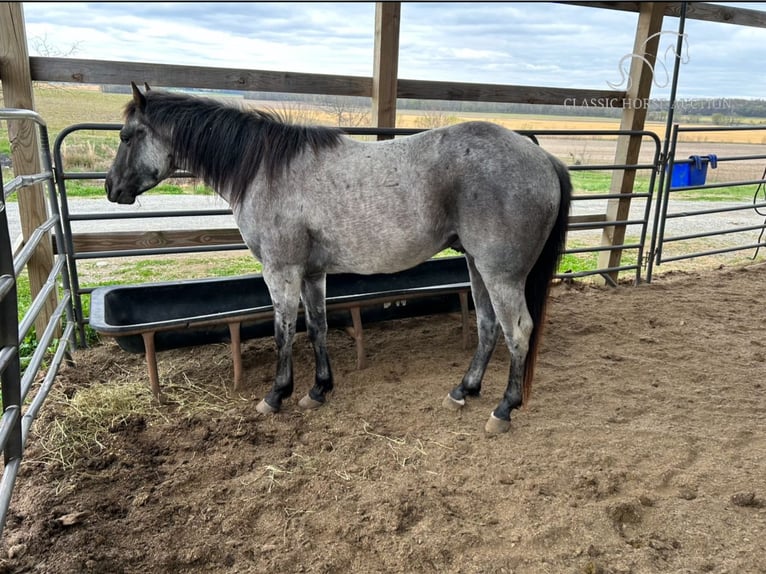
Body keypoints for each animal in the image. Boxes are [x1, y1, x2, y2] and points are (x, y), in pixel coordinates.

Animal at [106, 82, 568, 436]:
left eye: (127, 136)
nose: (112, 188)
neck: (265, 171)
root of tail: (543, 157)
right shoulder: (312, 274)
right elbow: (317, 327)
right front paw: (318, 390)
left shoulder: (280, 271)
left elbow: (283, 332)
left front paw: (277, 394)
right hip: (476, 266)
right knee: (488, 326)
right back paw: (463, 390)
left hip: (501, 273)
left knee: (517, 331)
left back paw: (503, 409)